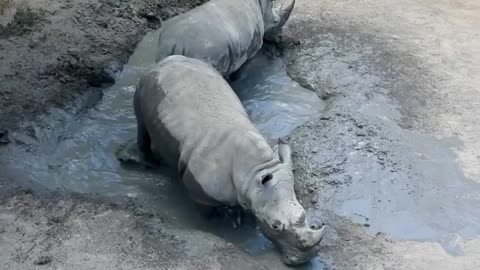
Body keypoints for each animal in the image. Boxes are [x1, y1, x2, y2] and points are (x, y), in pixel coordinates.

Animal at [129, 56, 326, 264]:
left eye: (304, 214)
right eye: (275, 226)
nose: (306, 259)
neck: (256, 169)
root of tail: (166, 60)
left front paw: (243, 220)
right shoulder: (200, 191)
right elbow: (206, 213)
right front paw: (216, 226)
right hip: (145, 84)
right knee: (141, 123)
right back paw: (148, 164)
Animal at [156, 0, 294, 76]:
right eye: (276, 22)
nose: (280, 38)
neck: (263, 8)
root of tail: (176, 43)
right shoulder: (252, 49)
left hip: (164, 45)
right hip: (205, 49)